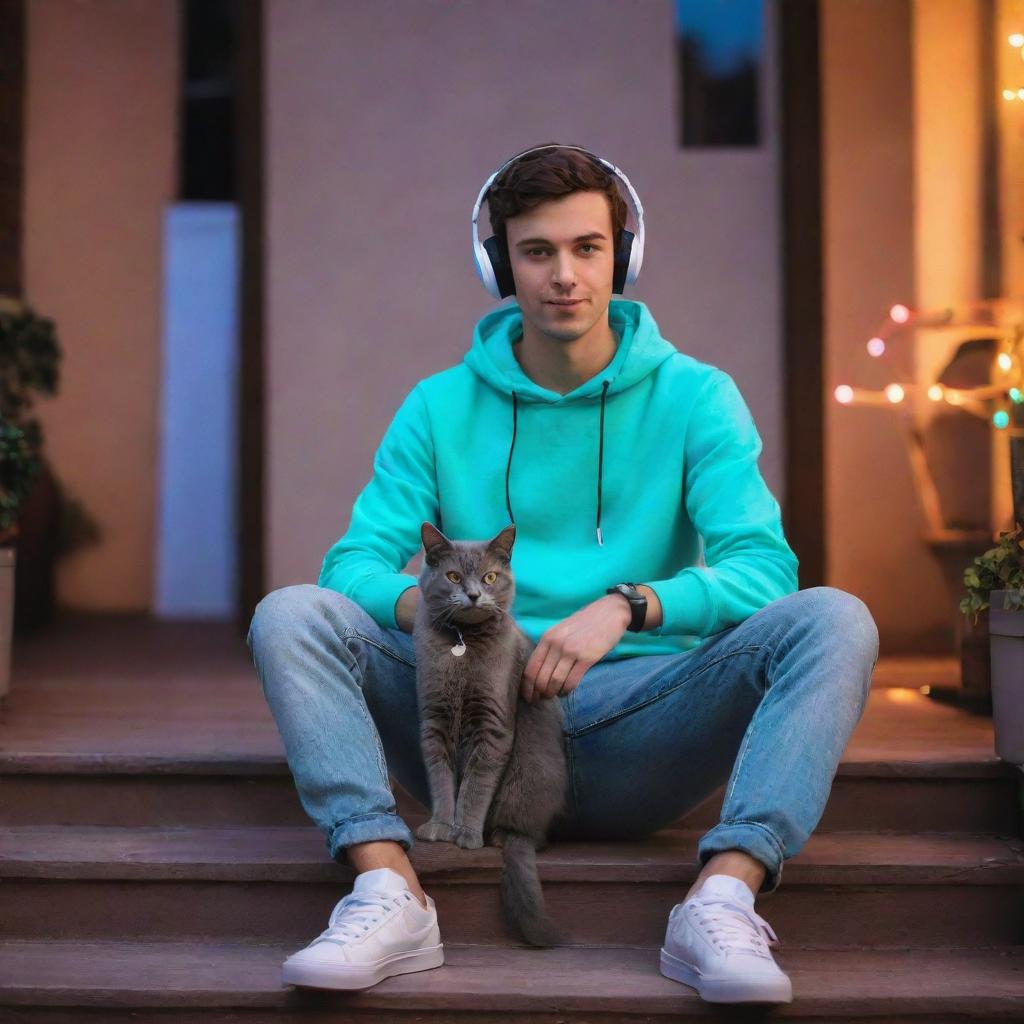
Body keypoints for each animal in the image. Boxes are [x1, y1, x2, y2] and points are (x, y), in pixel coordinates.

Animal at [413, 524, 573, 946]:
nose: (473, 594)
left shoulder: (493, 727)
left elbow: (474, 788)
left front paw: (465, 833)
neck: (462, 647)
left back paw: (498, 836)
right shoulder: (433, 723)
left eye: (489, 577)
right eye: (453, 576)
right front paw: (441, 826)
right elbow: (442, 782)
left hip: (524, 776)